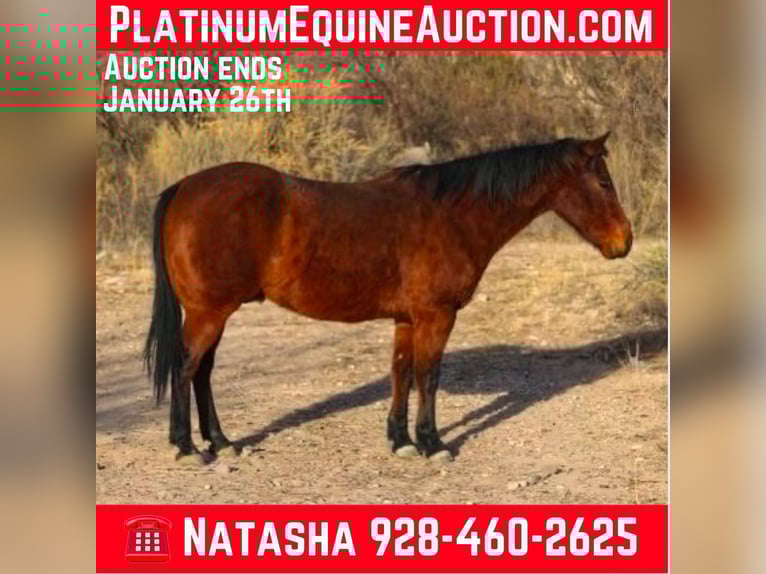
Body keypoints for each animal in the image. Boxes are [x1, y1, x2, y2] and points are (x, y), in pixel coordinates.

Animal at [144, 132, 632, 465]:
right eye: (604, 183)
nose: (623, 242)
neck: (452, 214)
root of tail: (184, 187)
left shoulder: (407, 319)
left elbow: (401, 373)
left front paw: (400, 440)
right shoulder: (436, 316)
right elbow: (428, 376)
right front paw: (432, 443)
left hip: (214, 313)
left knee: (202, 372)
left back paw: (221, 442)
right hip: (209, 313)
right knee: (186, 368)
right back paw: (187, 447)